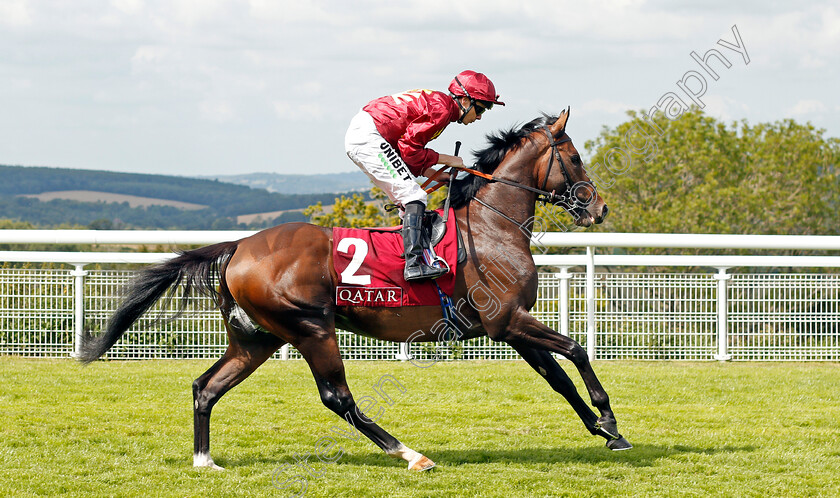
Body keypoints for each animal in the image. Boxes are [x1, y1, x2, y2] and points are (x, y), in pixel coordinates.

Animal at [79, 109, 632, 470]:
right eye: (575, 157)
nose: (599, 207)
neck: (492, 227)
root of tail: (238, 246)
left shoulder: (509, 327)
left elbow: (558, 379)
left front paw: (606, 432)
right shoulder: (509, 321)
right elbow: (577, 350)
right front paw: (608, 416)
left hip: (257, 338)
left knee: (205, 387)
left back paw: (203, 460)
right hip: (310, 328)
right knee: (336, 397)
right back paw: (410, 453)